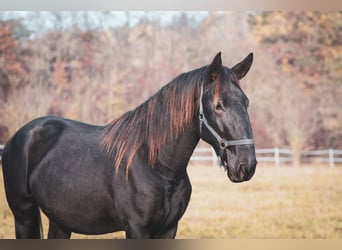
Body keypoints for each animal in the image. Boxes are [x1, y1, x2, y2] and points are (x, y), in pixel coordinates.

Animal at [2, 52, 256, 238]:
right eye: (218, 105)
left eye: (246, 102)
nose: (246, 166)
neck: (157, 167)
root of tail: (19, 136)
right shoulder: (137, 229)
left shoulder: (169, 229)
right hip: (23, 215)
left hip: (60, 221)